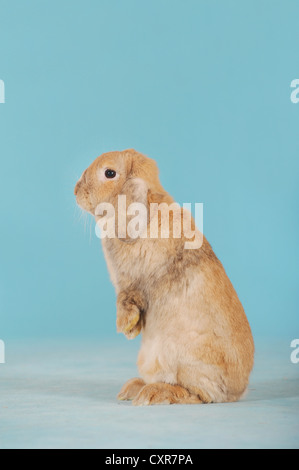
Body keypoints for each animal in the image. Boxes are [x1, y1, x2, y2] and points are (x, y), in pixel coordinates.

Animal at [75, 150, 255, 404]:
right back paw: (134, 387)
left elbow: (127, 301)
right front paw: (131, 331)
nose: (76, 190)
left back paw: (153, 393)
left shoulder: (130, 286)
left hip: (181, 359)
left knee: (200, 395)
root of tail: (237, 391)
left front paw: (124, 326)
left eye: (109, 173)